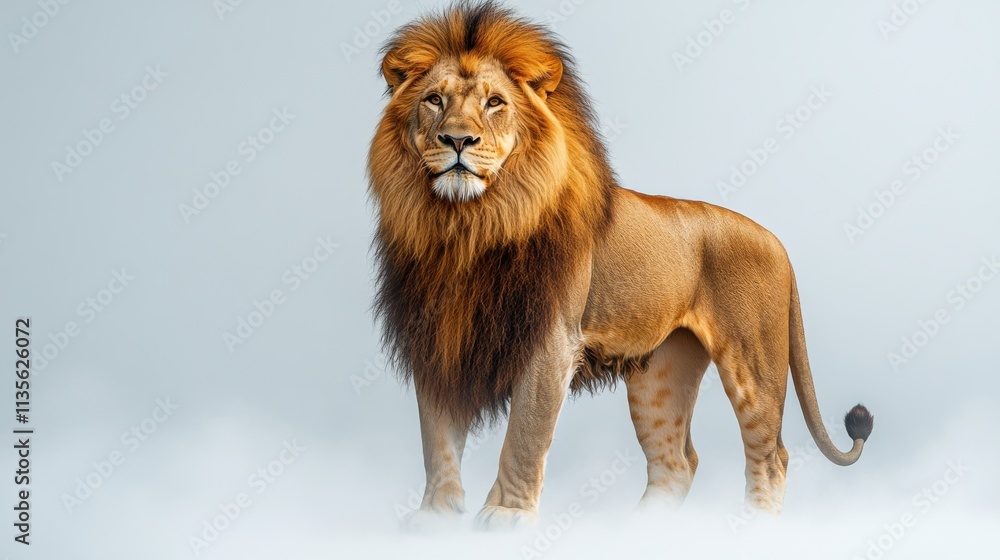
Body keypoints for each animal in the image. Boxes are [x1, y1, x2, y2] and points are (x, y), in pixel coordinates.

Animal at [367, 1, 873, 529]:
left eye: (494, 103)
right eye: (433, 100)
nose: (457, 140)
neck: (467, 225)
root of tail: (778, 242)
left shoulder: (551, 342)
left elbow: (524, 436)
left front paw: (505, 515)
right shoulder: (435, 338)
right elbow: (437, 439)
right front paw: (436, 516)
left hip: (753, 364)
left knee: (771, 456)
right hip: (661, 373)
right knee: (676, 462)